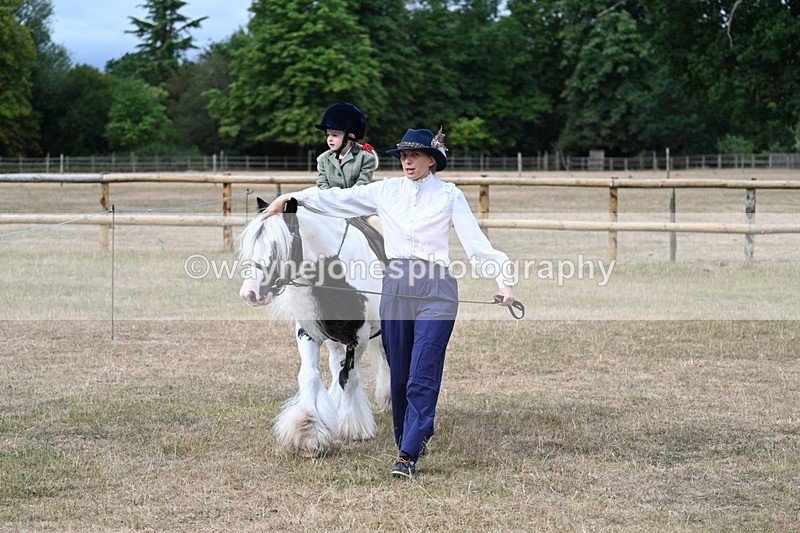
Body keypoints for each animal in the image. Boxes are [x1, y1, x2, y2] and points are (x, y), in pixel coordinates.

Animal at [238, 197, 390, 457]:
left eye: (277, 247)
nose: (250, 293)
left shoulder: (358, 337)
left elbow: (349, 378)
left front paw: (352, 427)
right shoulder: (308, 333)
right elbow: (309, 376)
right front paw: (308, 433)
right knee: (335, 365)